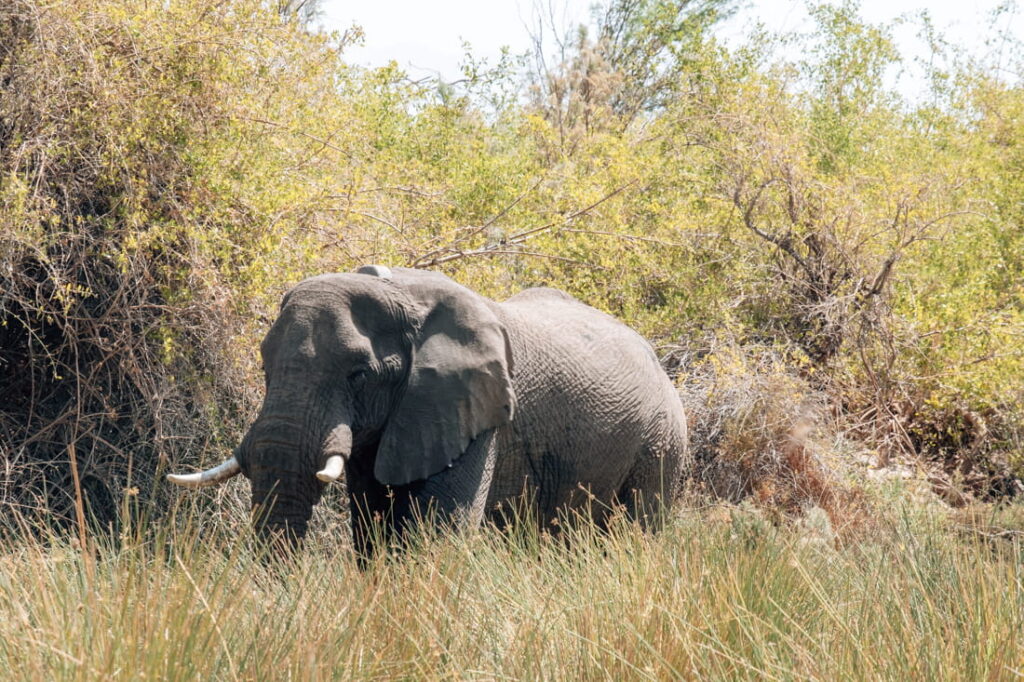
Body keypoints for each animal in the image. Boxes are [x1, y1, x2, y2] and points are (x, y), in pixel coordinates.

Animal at [167, 265, 689, 555]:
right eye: (263, 366)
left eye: (359, 374)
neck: (400, 295)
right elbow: (373, 532)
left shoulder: (471, 411)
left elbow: (439, 533)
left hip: (661, 441)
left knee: (637, 529)